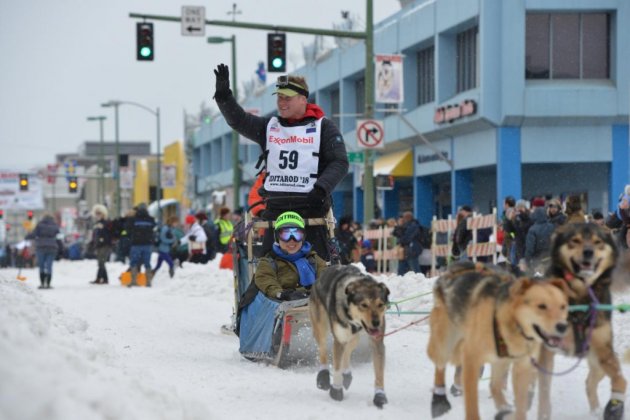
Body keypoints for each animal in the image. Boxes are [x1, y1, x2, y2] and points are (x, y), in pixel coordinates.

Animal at [310, 266, 392, 406]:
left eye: (380, 304)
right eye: (364, 305)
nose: (376, 323)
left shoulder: (377, 342)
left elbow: (379, 373)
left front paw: (380, 396)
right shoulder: (339, 339)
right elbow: (337, 367)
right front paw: (336, 390)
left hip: (355, 338)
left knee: (349, 349)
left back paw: (347, 374)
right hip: (321, 327)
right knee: (323, 349)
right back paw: (323, 376)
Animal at [428, 260, 572, 418]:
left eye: (563, 306)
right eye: (542, 306)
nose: (563, 326)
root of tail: (449, 272)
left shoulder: (522, 366)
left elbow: (521, 405)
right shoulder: (471, 358)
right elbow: (471, 403)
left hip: (501, 361)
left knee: (494, 385)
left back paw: (504, 408)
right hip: (444, 344)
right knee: (439, 364)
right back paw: (439, 400)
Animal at [540, 223, 628, 420]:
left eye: (597, 241)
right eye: (575, 240)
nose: (588, 252)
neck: (579, 297)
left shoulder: (604, 349)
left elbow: (620, 378)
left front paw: (615, 405)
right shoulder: (547, 350)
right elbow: (545, 389)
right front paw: (543, 412)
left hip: (598, 360)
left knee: (589, 382)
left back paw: (595, 410)